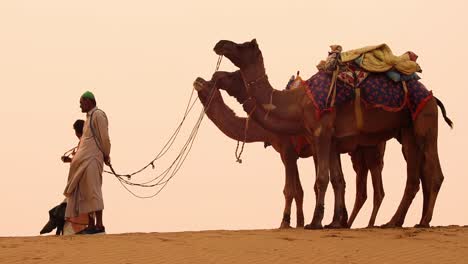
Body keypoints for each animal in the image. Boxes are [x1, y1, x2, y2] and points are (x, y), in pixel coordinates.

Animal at [195, 71, 388, 228]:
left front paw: (285, 222)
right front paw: (300, 223)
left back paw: (365, 224)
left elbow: (290, 190)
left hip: (368, 148)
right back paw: (346, 221)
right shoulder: (291, 154)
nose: (199, 80)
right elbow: (299, 191)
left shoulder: (287, 151)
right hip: (359, 151)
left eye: (233, 75)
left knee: (372, 186)